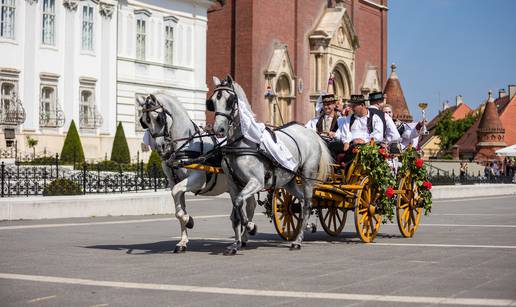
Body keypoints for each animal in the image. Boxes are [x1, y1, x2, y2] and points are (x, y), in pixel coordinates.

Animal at [137, 93, 258, 253]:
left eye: (159, 118)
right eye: (144, 121)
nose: (160, 148)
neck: (185, 145)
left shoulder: (197, 180)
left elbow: (178, 199)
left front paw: (189, 221)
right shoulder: (173, 182)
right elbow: (179, 208)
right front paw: (183, 240)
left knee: (250, 205)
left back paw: (247, 232)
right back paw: (242, 236)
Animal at [208, 76, 332, 254]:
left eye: (230, 101)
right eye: (212, 102)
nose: (219, 129)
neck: (242, 143)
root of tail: (311, 133)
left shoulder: (256, 182)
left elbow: (239, 203)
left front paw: (250, 227)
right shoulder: (233, 184)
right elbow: (236, 213)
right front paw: (236, 244)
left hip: (307, 178)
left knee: (308, 204)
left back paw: (298, 241)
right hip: (289, 181)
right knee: (301, 203)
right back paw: (306, 227)